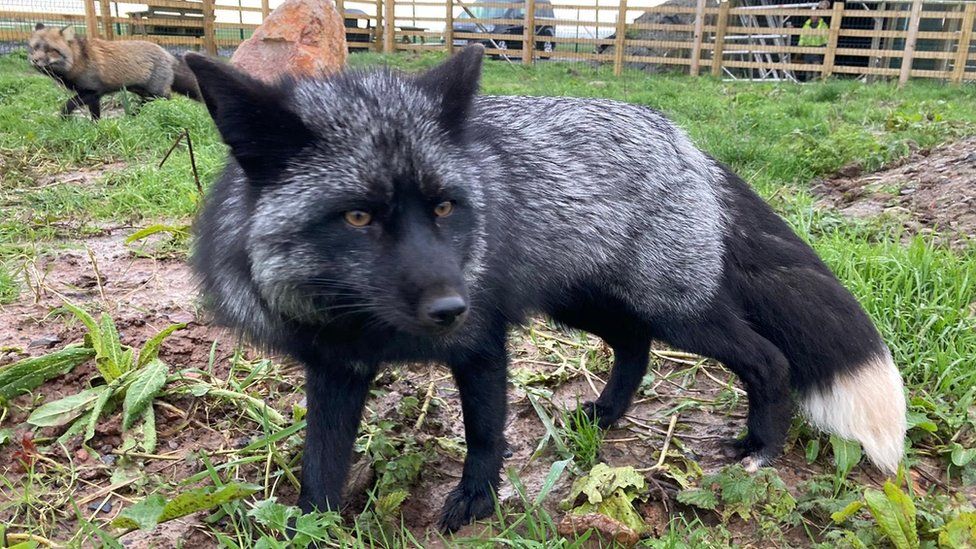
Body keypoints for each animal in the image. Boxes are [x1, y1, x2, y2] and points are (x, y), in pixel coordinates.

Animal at [26, 23, 199, 119]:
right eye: (34, 49)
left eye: (50, 50)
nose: (34, 60)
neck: (79, 61)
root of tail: (168, 54)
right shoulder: (93, 96)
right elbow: (95, 115)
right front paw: (95, 127)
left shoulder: (91, 91)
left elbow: (68, 105)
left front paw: (63, 119)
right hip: (143, 93)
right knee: (144, 104)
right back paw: (134, 117)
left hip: (157, 94)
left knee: (168, 102)